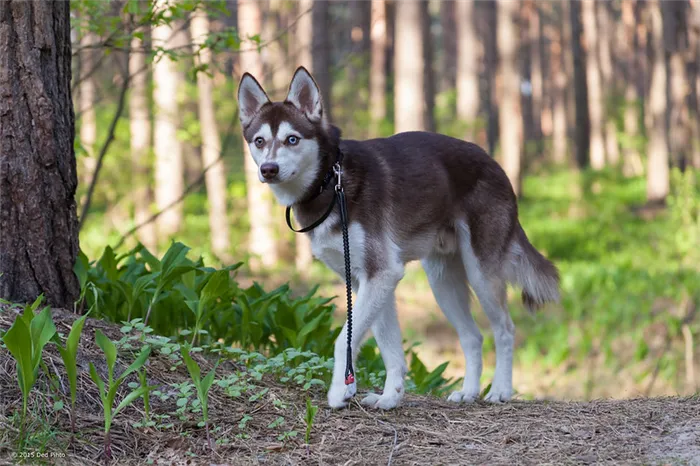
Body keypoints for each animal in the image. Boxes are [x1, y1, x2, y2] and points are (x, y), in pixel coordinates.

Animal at [238, 66, 560, 412]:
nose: (269, 169)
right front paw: (389, 396)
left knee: (504, 330)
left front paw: (339, 390)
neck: (331, 183)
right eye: (259, 141)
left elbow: (343, 340)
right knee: (473, 337)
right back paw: (468, 392)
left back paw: (500, 389)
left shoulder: (382, 274)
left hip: (481, 275)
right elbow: (388, 346)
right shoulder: (367, 281)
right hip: (442, 282)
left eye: (292, 139)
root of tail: (497, 166)